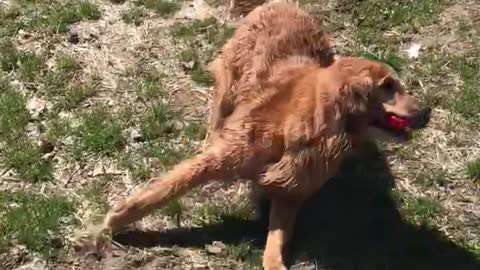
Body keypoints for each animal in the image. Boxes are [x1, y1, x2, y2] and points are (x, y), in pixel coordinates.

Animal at [97, 2, 432, 270]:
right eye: (388, 86)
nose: (427, 110)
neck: (310, 126)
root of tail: (283, 3)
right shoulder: (226, 156)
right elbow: (168, 187)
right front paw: (115, 220)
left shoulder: (290, 189)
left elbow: (275, 240)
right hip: (229, 79)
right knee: (217, 112)